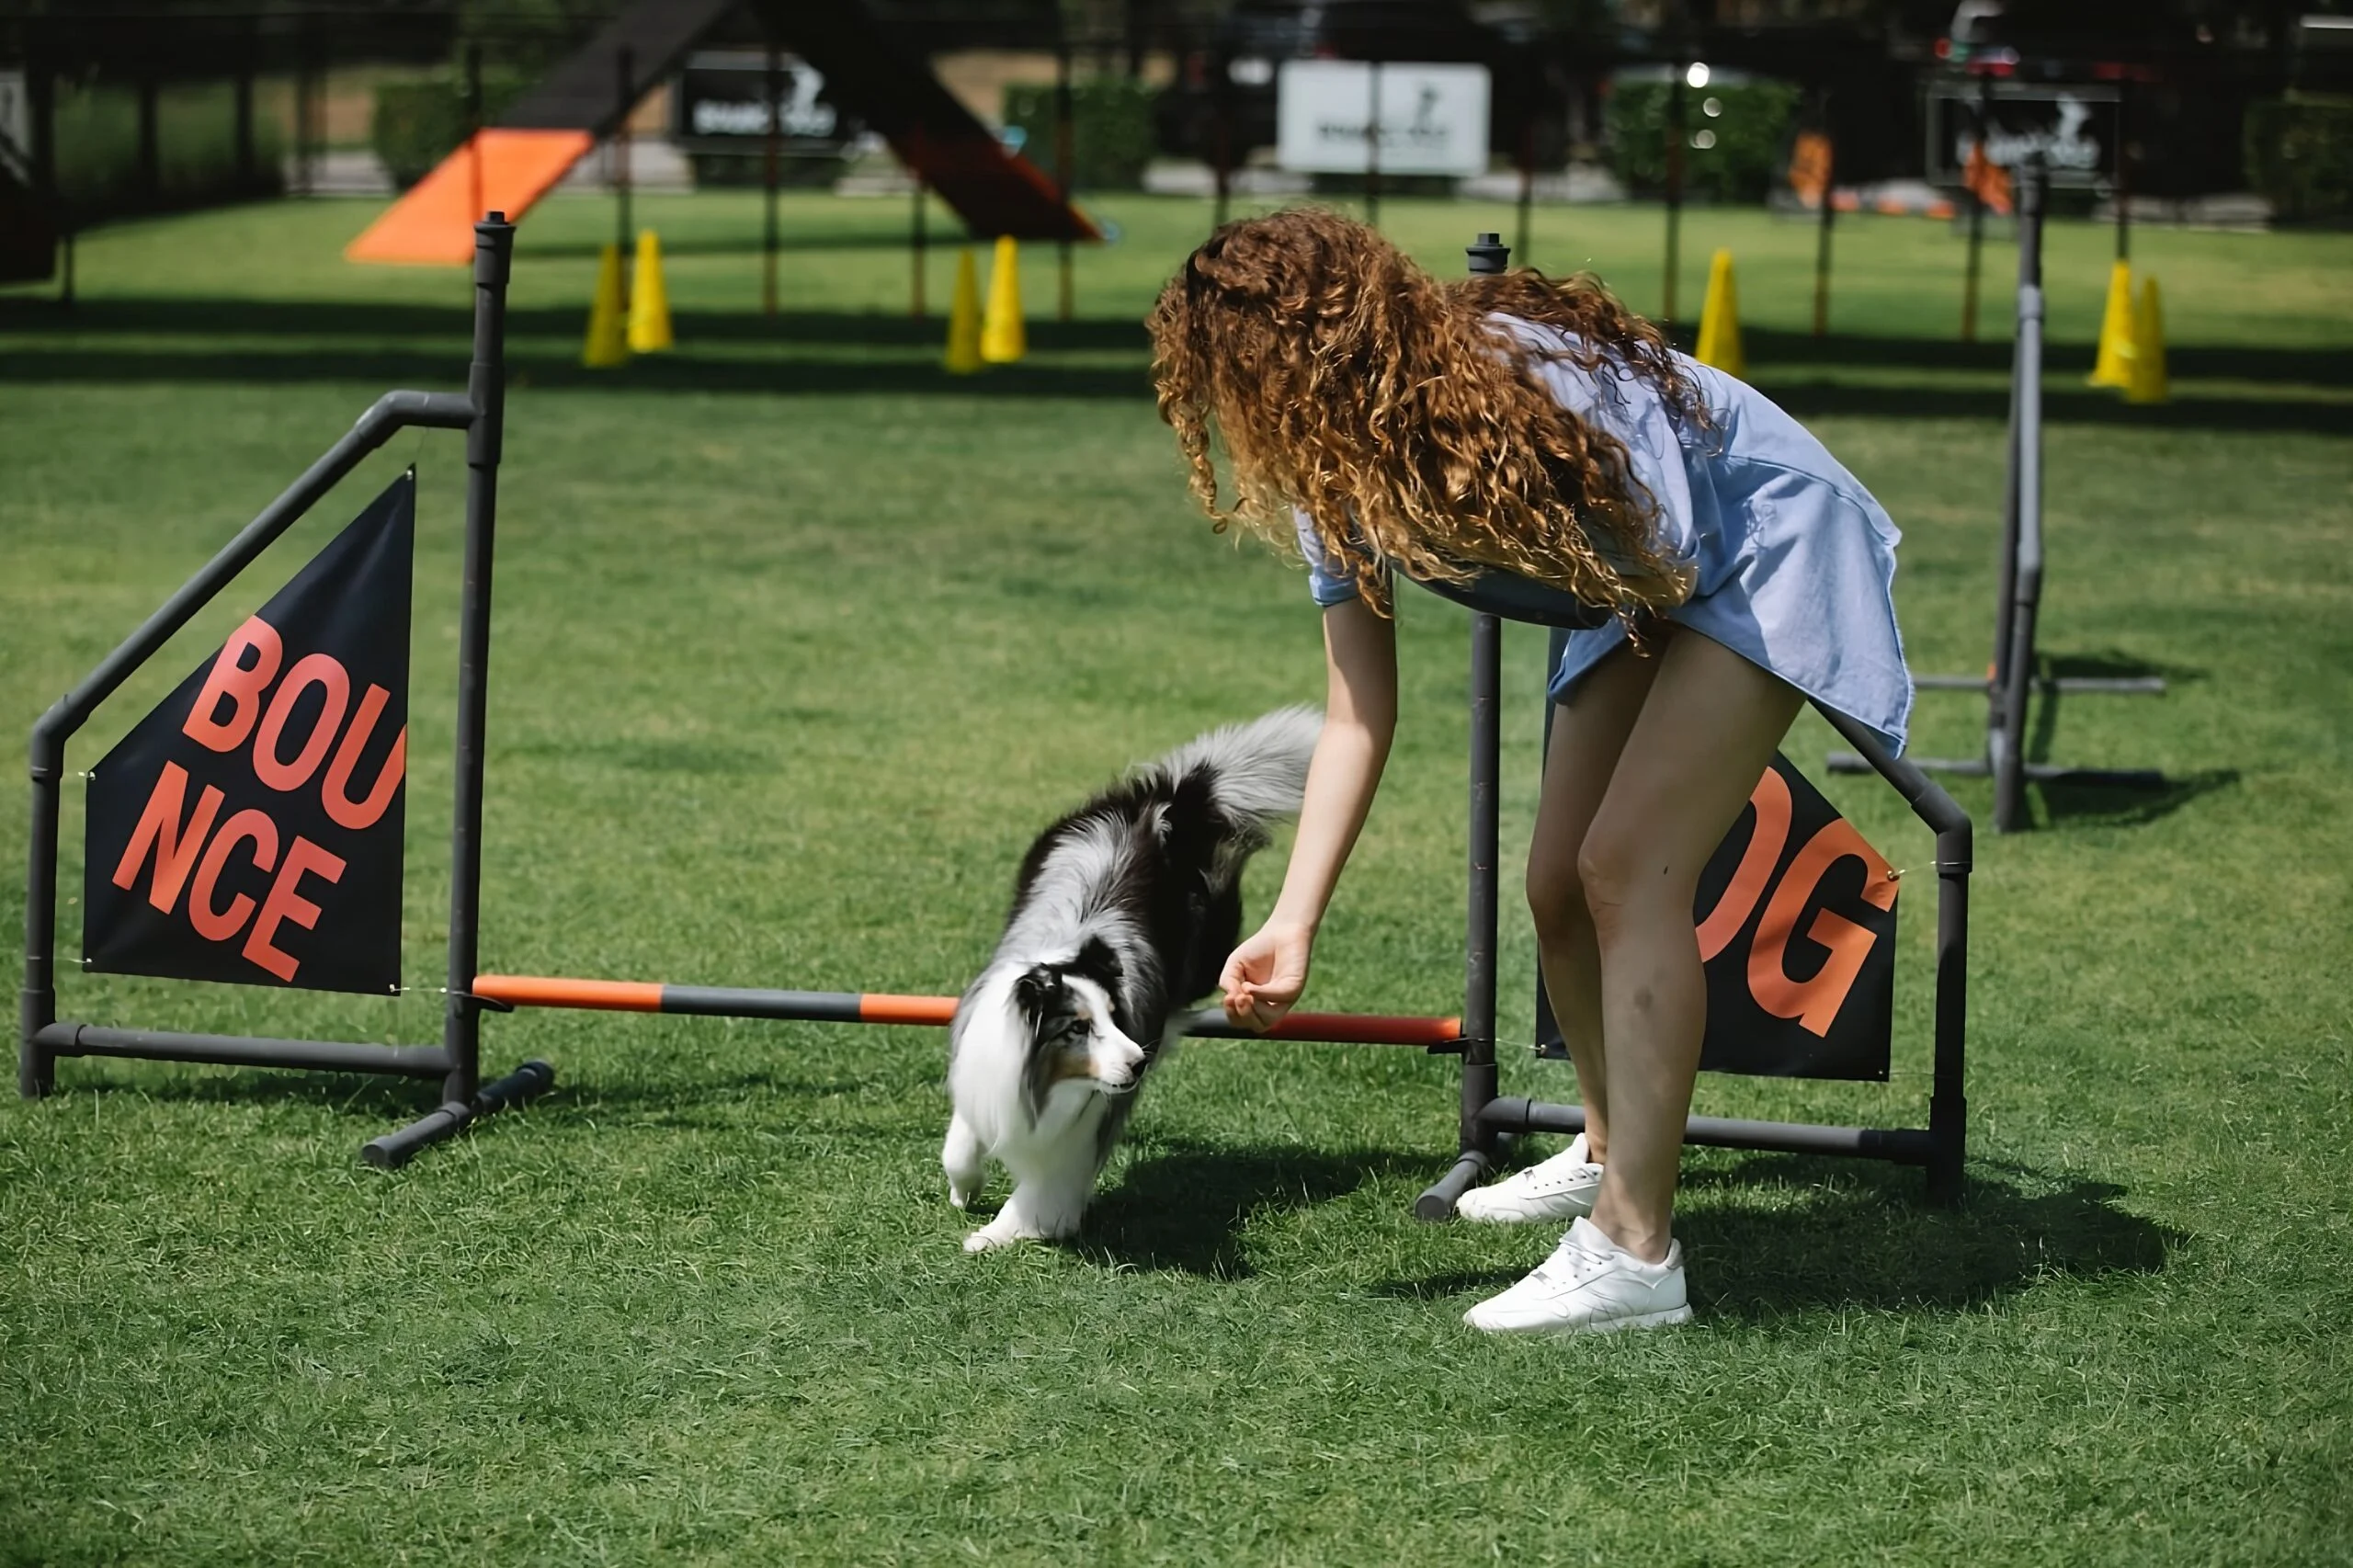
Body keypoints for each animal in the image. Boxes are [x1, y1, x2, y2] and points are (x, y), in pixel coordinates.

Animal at [950, 706, 1326, 1243]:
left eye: (1115, 1017)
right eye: (1078, 1028)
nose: (1138, 1064)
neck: (1041, 1082)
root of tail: (1162, 802)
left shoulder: (1084, 1128)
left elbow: (1043, 1189)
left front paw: (995, 1234)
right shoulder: (982, 1069)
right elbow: (960, 1143)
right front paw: (964, 1191)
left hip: (1208, 953)